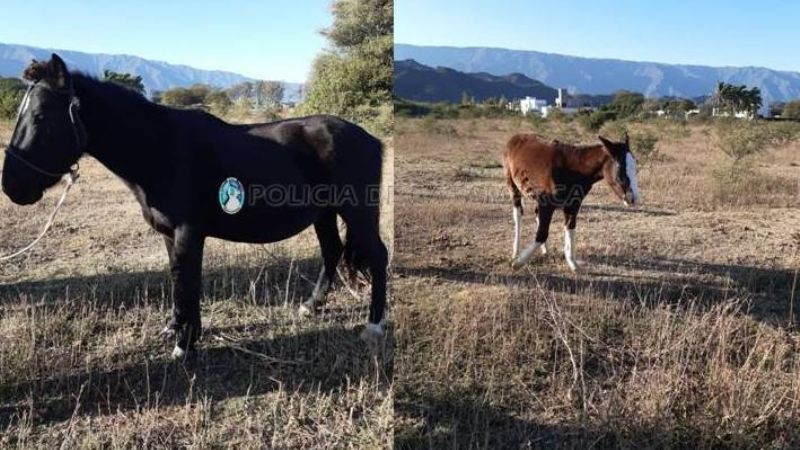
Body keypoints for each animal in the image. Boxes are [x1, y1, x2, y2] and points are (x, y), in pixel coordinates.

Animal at [1, 54, 389, 359]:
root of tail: (369, 137)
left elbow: (187, 283)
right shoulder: (169, 234)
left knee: (377, 255)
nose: (12, 187)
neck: (160, 150)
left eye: (41, 118)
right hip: (324, 213)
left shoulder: (189, 233)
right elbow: (178, 280)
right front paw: (176, 329)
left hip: (358, 212)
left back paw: (374, 326)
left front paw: (184, 346)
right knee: (331, 251)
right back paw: (311, 306)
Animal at [503, 133, 640, 271]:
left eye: (635, 166)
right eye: (620, 167)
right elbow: (542, 234)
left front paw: (572, 263)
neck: (572, 170)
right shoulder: (546, 204)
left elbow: (570, 228)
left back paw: (545, 251)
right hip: (512, 186)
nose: (633, 198)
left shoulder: (573, 204)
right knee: (518, 215)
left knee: (536, 214)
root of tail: (515, 137)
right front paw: (518, 263)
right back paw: (516, 253)